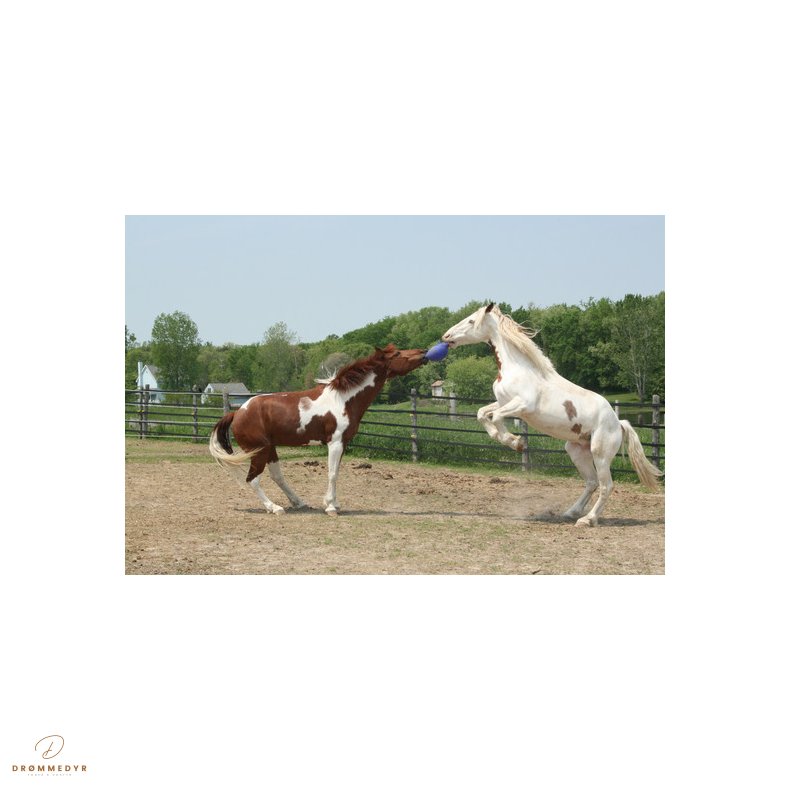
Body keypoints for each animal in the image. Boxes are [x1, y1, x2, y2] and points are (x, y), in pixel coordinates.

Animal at [209, 344, 426, 515]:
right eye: (397, 353)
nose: (424, 352)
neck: (343, 399)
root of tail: (237, 413)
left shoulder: (343, 443)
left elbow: (336, 472)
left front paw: (335, 504)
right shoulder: (335, 443)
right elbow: (332, 473)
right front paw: (330, 507)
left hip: (270, 449)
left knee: (277, 477)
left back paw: (298, 502)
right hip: (259, 451)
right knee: (252, 480)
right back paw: (275, 508)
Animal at [441, 303, 662, 526]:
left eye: (471, 321)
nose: (446, 336)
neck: (518, 368)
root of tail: (618, 423)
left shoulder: (522, 405)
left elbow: (495, 417)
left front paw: (516, 442)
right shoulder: (504, 402)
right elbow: (482, 413)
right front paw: (510, 440)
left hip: (600, 453)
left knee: (606, 485)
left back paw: (587, 520)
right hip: (576, 450)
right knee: (591, 482)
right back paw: (571, 512)